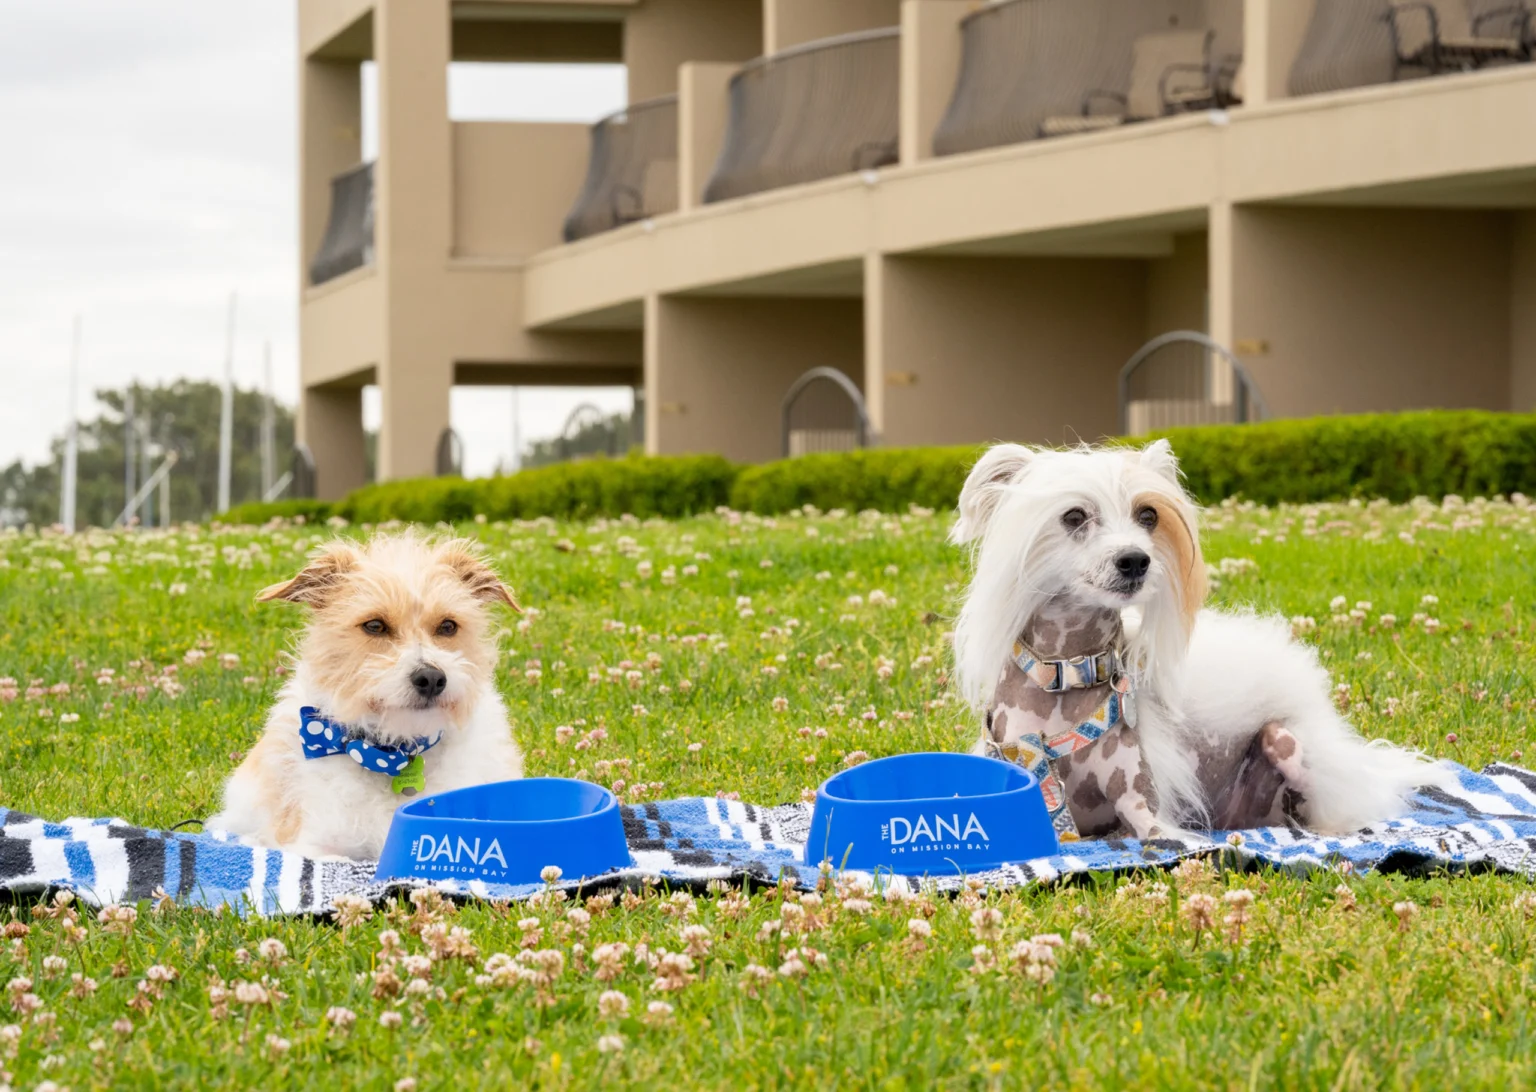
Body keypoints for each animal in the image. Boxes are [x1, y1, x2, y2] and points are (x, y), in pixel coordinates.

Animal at [946, 439, 1449, 841]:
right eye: (1074, 516)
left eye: (1148, 515)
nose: (1136, 559)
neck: (1067, 676)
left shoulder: (1141, 803)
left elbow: (1156, 836)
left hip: (1291, 752)